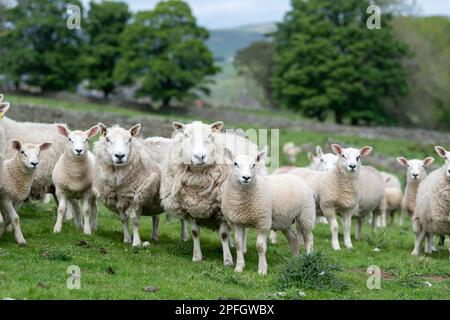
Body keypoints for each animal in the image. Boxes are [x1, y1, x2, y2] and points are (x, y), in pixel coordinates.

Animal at [160, 120, 266, 264]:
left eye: (210, 136)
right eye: (186, 135)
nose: (200, 156)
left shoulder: (220, 208)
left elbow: (223, 234)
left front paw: (227, 260)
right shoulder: (190, 209)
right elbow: (195, 233)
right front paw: (197, 256)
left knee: (243, 228)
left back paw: (242, 249)